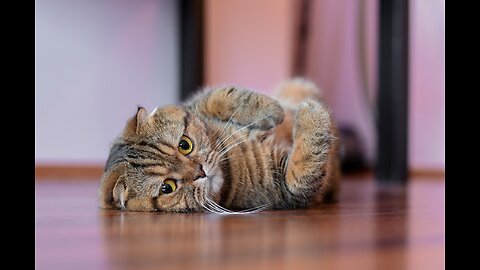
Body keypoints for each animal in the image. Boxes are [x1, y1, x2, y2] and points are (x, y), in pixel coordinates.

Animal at [97, 77, 340, 213]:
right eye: (167, 187)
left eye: (185, 145)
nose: (201, 172)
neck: (230, 166)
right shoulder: (288, 189)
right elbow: (305, 169)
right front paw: (311, 113)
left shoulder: (196, 105)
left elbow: (215, 97)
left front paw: (273, 109)